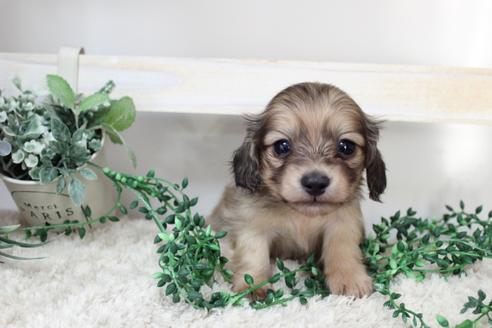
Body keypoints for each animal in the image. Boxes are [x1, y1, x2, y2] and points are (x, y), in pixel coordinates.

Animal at [207, 82, 384, 298]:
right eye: (282, 146)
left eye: (346, 146)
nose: (315, 182)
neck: (301, 215)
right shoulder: (251, 226)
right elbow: (254, 254)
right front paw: (254, 285)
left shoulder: (343, 223)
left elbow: (343, 249)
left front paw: (350, 278)